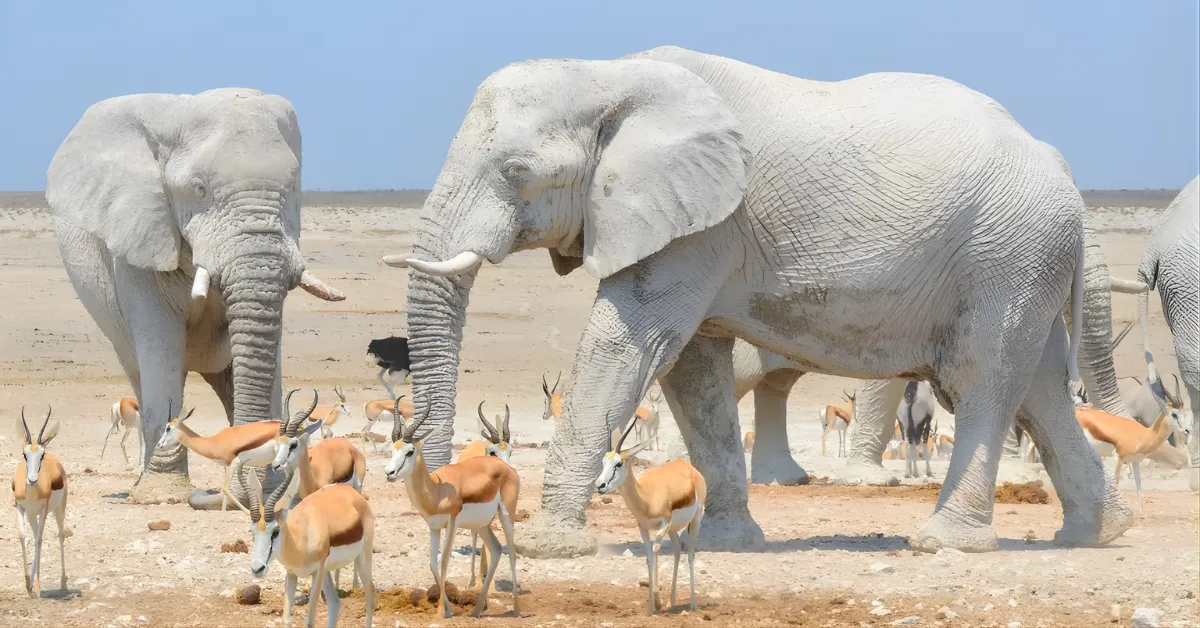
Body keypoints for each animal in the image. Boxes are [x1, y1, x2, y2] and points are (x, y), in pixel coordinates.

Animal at [47, 88, 343, 503]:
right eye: (199, 189)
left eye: (294, 188)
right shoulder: (140, 240)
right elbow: (160, 344)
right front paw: (162, 496)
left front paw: (269, 487)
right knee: (142, 375)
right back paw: (142, 485)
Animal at [384, 46, 1133, 556]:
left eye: (517, 172)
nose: (448, 489)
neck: (609, 75)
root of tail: (1061, 166)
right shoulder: (694, 228)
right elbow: (692, 370)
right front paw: (726, 542)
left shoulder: (700, 227)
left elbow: (626, 343)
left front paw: (552, 549)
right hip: (1025, 261)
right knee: (1040, 389)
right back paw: (1094, 534)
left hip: (1008, 252)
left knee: (983, 378)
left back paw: (944, 542)